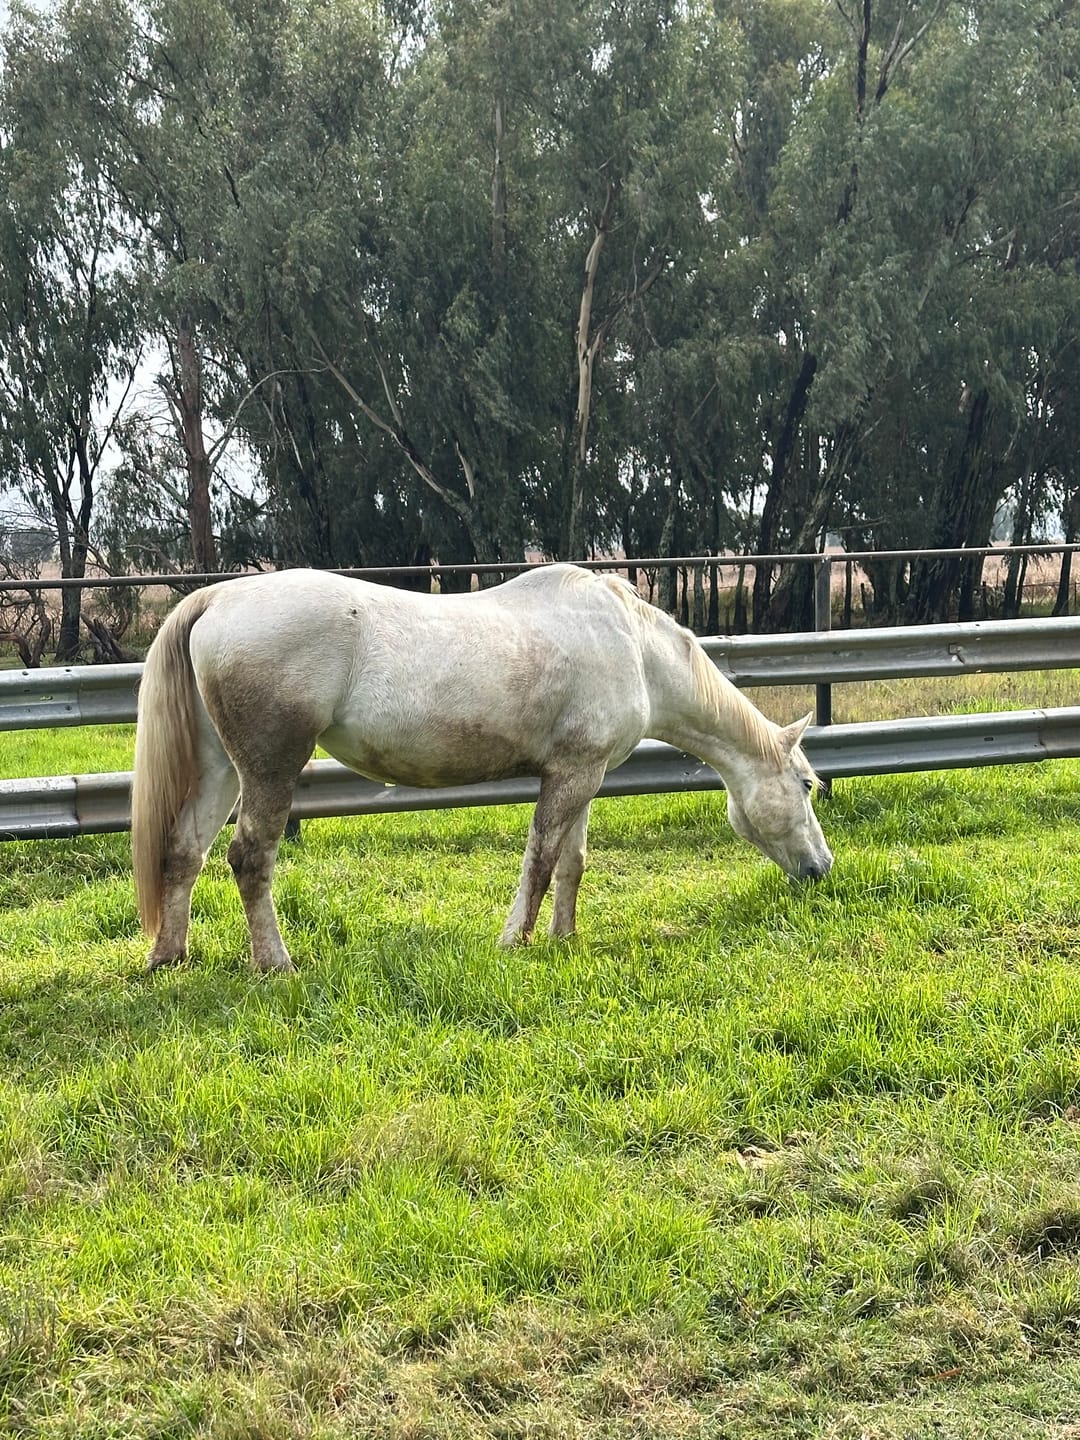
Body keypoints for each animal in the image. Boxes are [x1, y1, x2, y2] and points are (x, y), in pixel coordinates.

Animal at [131, 564, 832, 973]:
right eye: (806, 784)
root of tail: (219, 597)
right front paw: (515, 940)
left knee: (185, 849)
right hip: (270, 768)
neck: (633, 645)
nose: (821, 868)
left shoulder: (586, 774)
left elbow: (572, 863)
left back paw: (170, 957)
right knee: (249, 856)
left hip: (222, 767)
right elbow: (541, 859)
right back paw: (276, 964)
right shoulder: (571, 776)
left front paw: (564, 938)